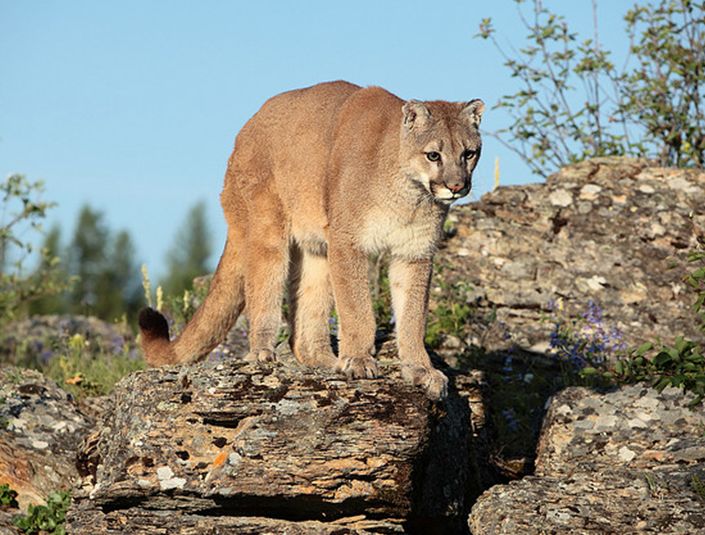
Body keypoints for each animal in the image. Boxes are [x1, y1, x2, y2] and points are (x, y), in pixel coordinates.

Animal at [142, 79, 484, 398]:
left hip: (316, 251)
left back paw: (326, 362)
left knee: (304, 328)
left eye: (468, 153)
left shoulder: (414, 254)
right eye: (433, 155)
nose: (456, 186)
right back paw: (263, 354)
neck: (409, 195)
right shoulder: (348, 243)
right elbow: (357, 308)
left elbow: (413, 317)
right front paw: (359, 361)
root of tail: (245, 129)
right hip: (268, 230)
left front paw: (420, 370)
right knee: (262, 294)